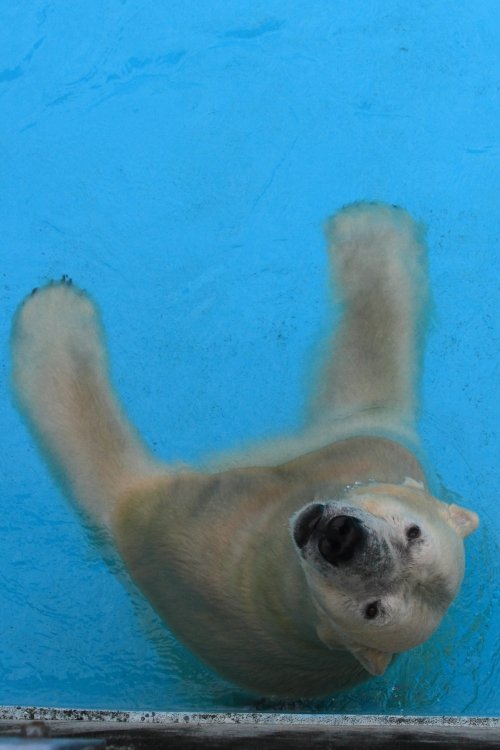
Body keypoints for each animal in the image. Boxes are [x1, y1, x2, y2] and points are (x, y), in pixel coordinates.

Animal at [11, 204, 478, 700]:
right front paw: (372, 227)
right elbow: (369, 390)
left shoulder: (208, 559)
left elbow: (120, 489)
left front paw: (52, 314)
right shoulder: (365, 452)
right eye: (413, 532)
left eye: (373, 610)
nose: (342, 539)